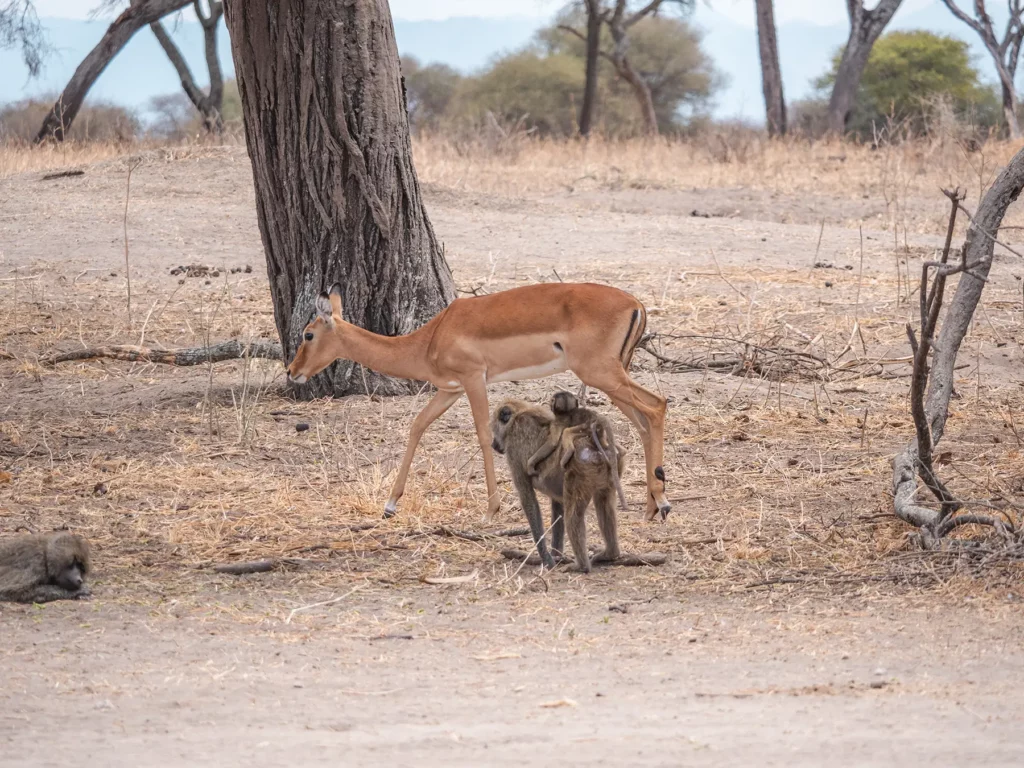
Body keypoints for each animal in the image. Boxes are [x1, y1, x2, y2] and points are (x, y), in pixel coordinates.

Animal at [286, 282, 670, 522]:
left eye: (308, 333)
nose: (292, 371)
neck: (430, 338)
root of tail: (635, 304)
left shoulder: (473, 380)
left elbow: (485, 436)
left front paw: (490, 510)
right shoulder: (450, 389)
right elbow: (417, 425)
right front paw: (390, 505)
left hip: (602, 373)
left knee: (656, 406)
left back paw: (662, 503)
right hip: (611, 376)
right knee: (642, 422)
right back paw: (652, 507)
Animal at [491, 399, 625, 573]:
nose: (493, 444)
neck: (519, 414)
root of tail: (598, 444)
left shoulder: (514, 444)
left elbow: (528, 498)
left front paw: (546, 559)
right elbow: (557, 504)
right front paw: (556, 555)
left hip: (581, 471)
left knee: (573, 516)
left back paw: (582, 566)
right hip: (610, 471)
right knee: (604, 504)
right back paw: (610, 553)